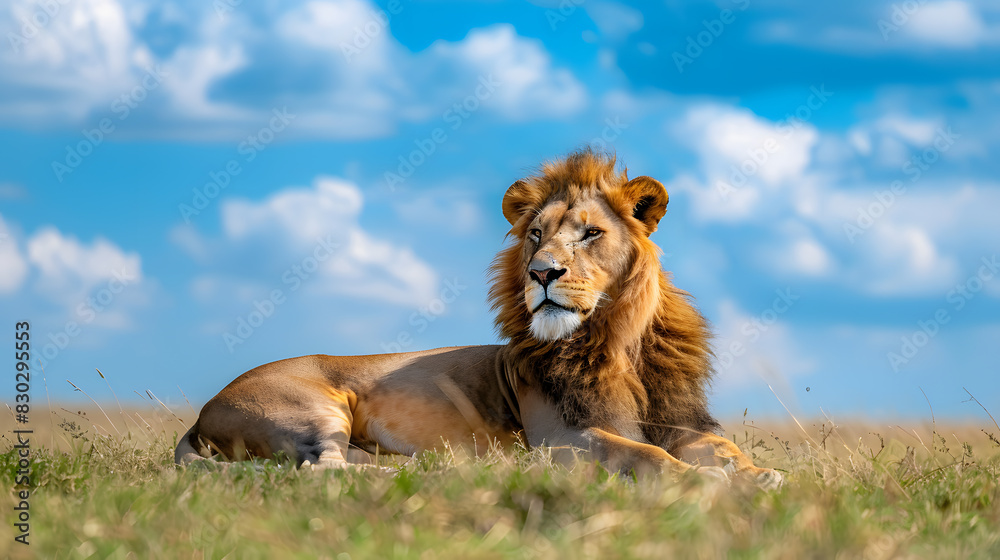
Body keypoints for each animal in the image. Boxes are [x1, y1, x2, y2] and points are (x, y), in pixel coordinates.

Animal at [178, 151, 780, 488]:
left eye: (590, 233)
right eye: (535, 234)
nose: (541, 273)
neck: (617, 342)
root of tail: (204, 409)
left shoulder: (681, 421)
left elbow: (720, 447)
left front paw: (756, 472)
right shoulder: (561, 439)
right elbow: (641, 452)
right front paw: (706, 480)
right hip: (313, 410)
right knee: (319, 471)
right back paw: (430, 474)